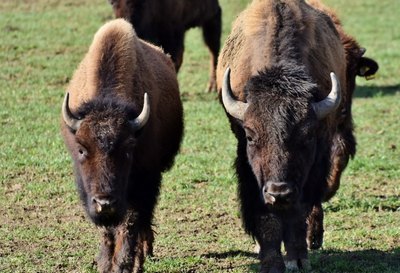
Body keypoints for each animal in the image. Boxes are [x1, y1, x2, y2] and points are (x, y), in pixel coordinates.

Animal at [60, 19, 184, 272]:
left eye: (128, 150)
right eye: (81, 149)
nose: (104, 203)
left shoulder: (142, 181)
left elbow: (131, 223)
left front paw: (124, 264)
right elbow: (109, 229)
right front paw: (105, 263)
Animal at [217, 0, 376, 272]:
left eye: (307, 136)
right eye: (250, 136)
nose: (279, 192)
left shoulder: (316, 159)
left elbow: (301, 208)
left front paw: (298, 258)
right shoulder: (249, 167)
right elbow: (263, 212)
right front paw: (271, 261)